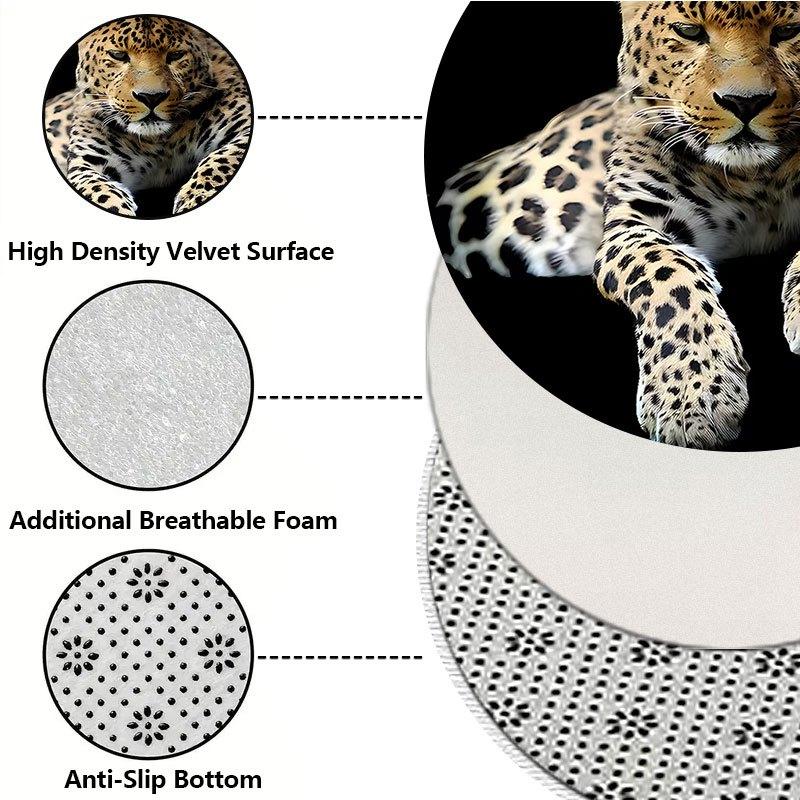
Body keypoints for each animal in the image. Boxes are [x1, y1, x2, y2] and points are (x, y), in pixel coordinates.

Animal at [44, 15, 252, 217]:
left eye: (176, 55)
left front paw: (195, 198)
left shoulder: (243, 128)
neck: (160, 141)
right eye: (118, 55)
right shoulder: (88, 165)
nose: (151, 97)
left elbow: (219, 161)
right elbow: (101, 193)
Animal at [435, 1, 800, 449]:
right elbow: (669, 276)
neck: (754, 178)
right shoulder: (631, 223)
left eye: (788, 31)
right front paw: (692, 397)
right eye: (689, 32)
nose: (745, 103)